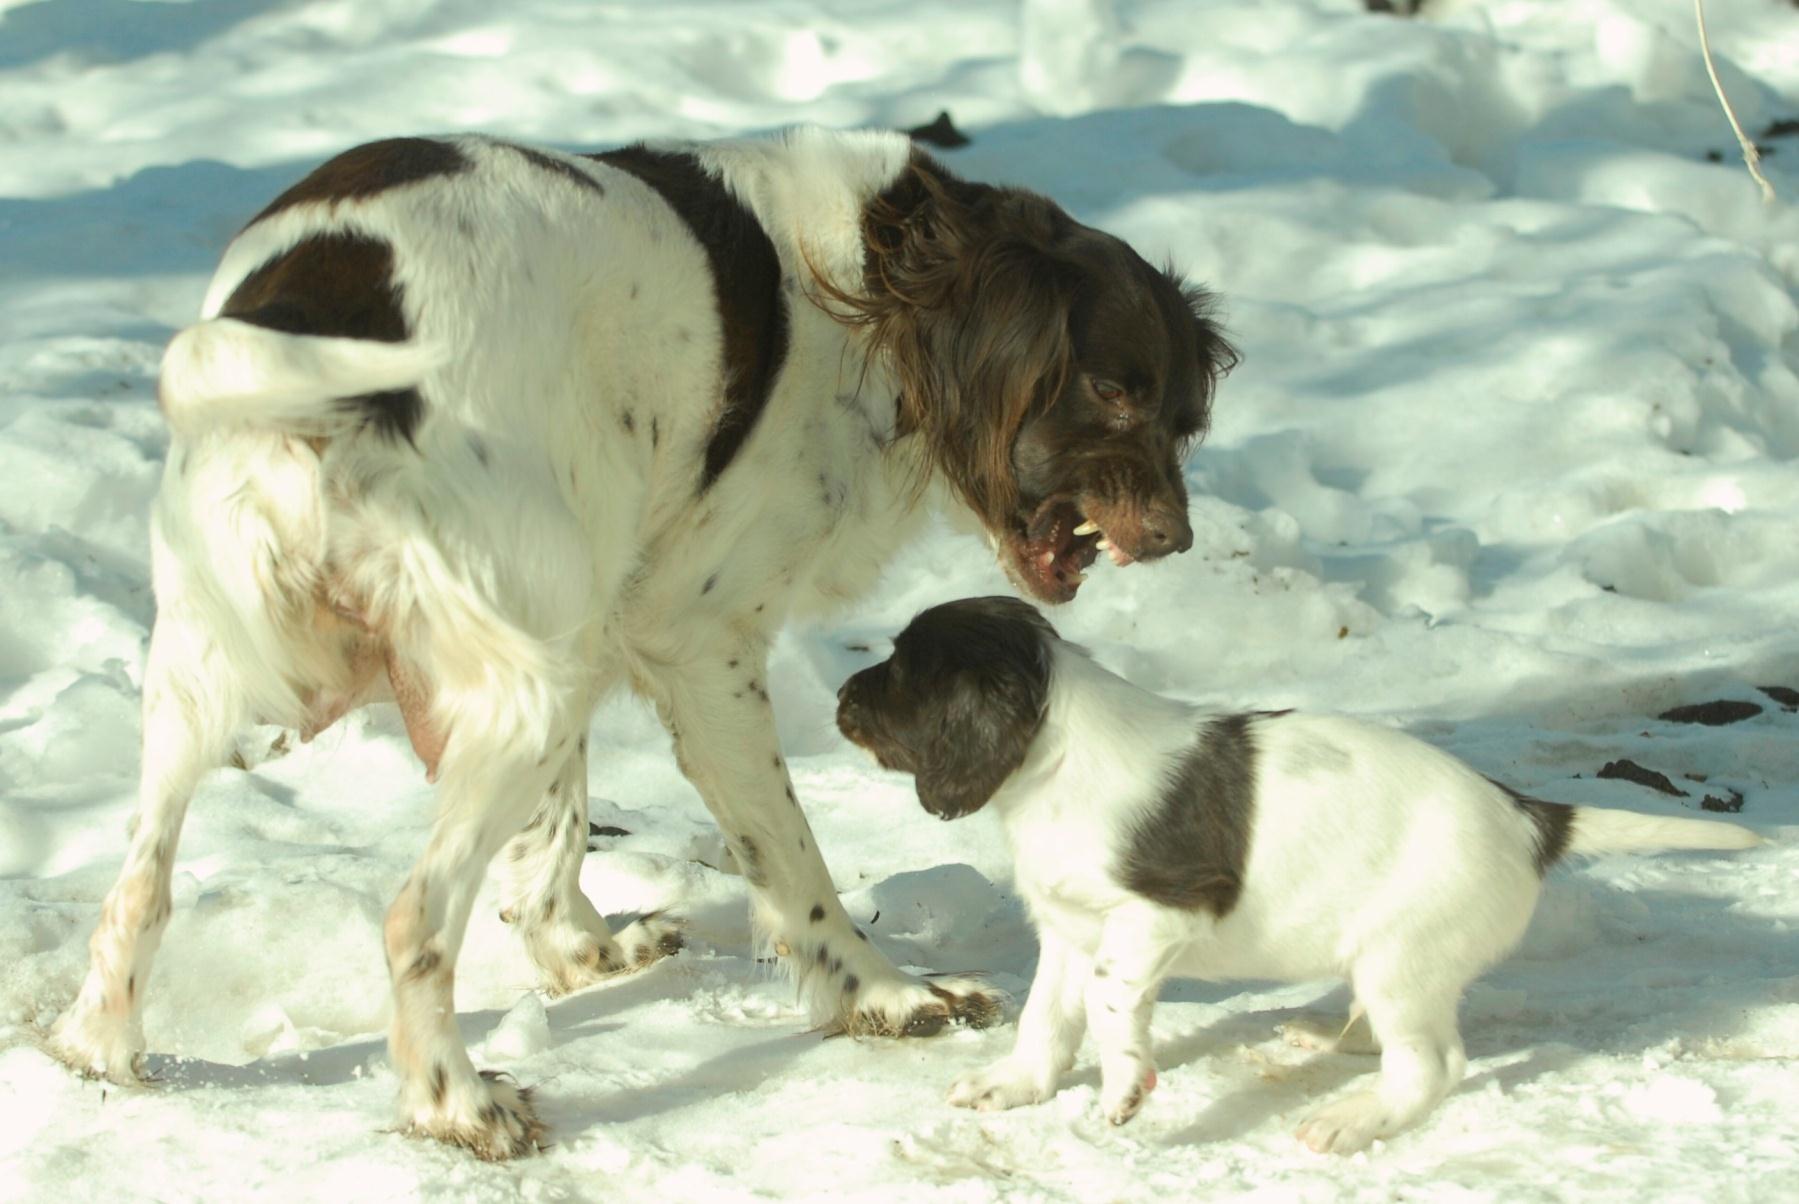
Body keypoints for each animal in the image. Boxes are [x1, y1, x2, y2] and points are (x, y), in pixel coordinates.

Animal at [45, 124, 1237, 1151]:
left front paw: (582, 950)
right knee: (411, 917)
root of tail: (306, 312)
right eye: (1110, 389)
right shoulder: (696, 641)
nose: (1174, 537)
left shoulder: (595, 606)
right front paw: (884, 996)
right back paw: (456, 1103)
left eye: (1180, 413)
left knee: (139, 884)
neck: (878, 276)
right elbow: (788, 858)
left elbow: (555, 839)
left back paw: (100, 1047)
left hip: (227, 664)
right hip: (519, 678)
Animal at [834, 597, 1763, 1151]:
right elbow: (1047, 1019)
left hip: (1402, 955)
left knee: (1428, 1065)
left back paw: (1350, 1121)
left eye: (904, 671)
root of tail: (1529, 816)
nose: (840, 700)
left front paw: (1125, 1088)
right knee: (1383, 1032)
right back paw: (1324, 1036)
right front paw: (1016, 1086)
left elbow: (1105, 1007)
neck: (1053, 761)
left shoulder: (1159, 914)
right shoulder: (1069, 927)